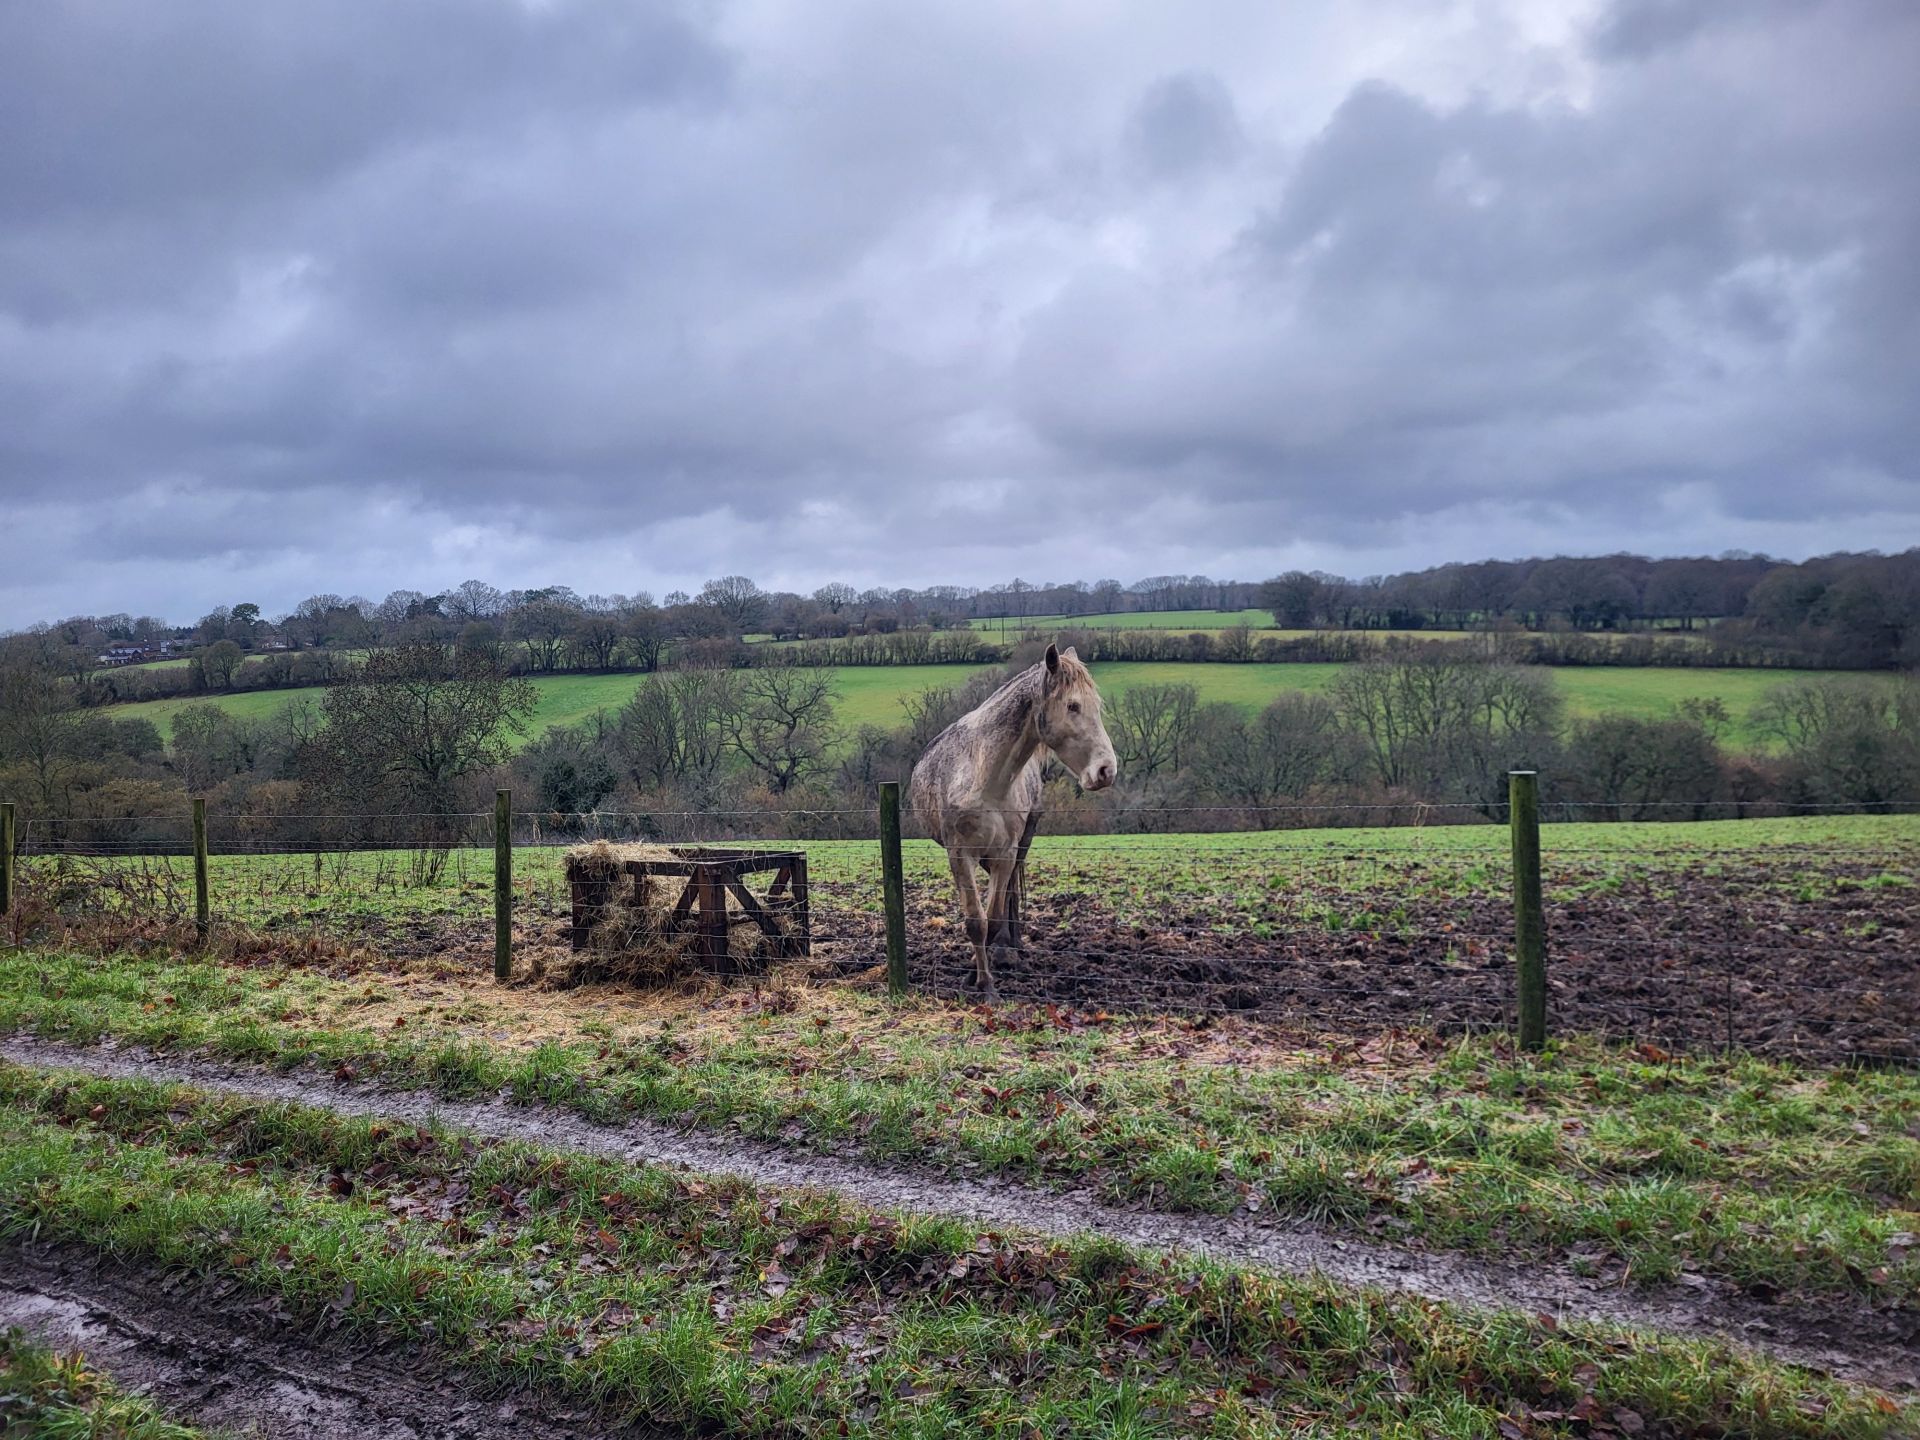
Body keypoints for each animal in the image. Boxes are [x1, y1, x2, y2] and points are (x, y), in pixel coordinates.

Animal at [907, 643, 1118, 999]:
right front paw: (980, 980)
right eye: (1073, 706)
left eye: (1096, 707)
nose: (1106, 771)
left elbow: (992, 919)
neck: (985, 778)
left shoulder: (1006, 853)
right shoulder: (960, 855)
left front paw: (984, 979)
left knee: (1009, 896)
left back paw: (1010, 949)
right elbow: (974, 921)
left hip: (1020, 845)